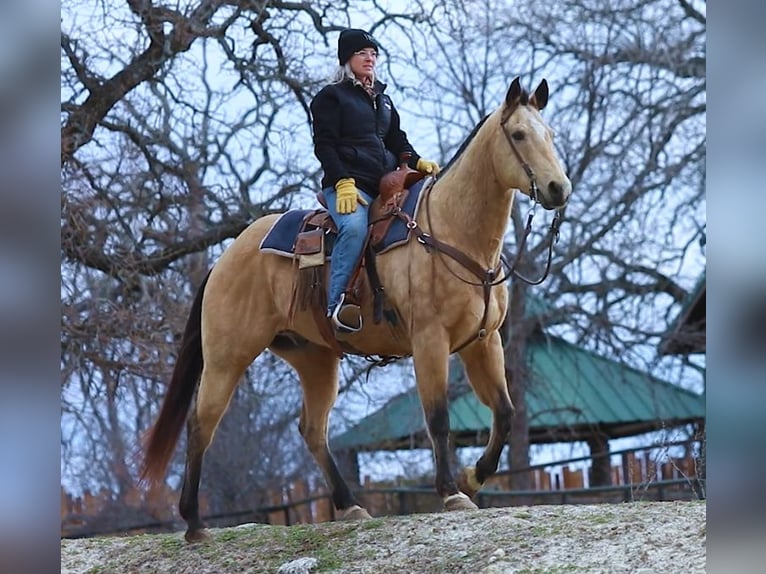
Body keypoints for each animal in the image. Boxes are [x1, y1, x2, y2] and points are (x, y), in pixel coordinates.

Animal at [141, 77, 572, 544]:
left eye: (550, 134)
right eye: (519, 135)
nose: (559, 188)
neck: (451, 231)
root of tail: (224, 259)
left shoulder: (482, 342)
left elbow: (505, 412)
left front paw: (473, 477)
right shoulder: (430, 341)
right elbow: (437, 417)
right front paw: (451, 493)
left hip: (313, 358)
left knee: (312, 430)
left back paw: (349, 506)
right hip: (227, 357)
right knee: (202, 423)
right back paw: (194, 524)